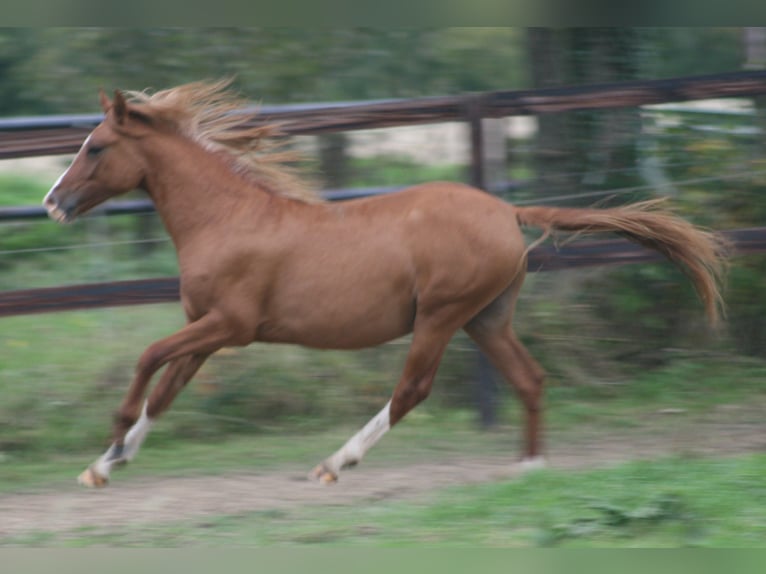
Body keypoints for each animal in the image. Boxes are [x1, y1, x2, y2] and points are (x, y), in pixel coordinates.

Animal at [43, 79, 732, 488]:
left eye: (97, 146)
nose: (54, 202)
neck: (227, 218)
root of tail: (508, 212)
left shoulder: (229, 326)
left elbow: (147, 360)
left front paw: (110, 443)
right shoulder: (206, 331)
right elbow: (165, 392)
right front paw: (105, 464)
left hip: (441, 316)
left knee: (412, 390)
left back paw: (335, 462)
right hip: (486, 318)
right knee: (529, 378)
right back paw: (529, 466)